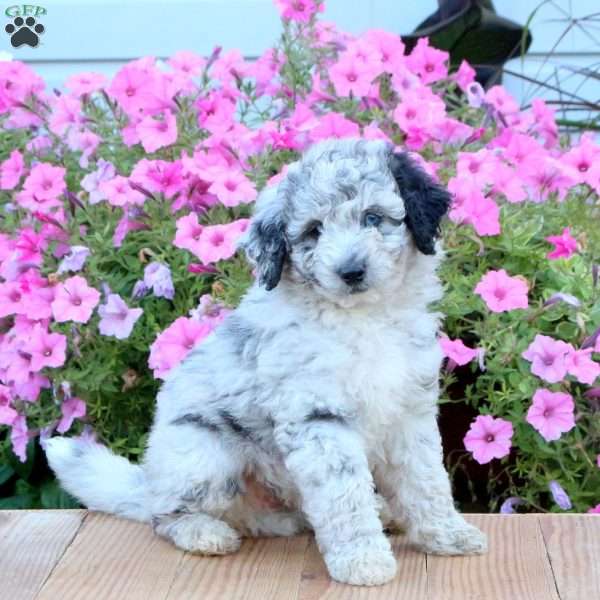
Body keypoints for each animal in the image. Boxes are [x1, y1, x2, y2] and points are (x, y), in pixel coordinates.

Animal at [47, 137, 488, 584]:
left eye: (373, 217)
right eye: (313, 231)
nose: (350, 271)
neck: (363, 318)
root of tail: (149, 481)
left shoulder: (410, 411)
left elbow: (425, 479)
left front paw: (447, 534)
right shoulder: (318, 416)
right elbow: (344, 494)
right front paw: (362, 559)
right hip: (206, 453)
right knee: (164, 514)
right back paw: (204, 533)